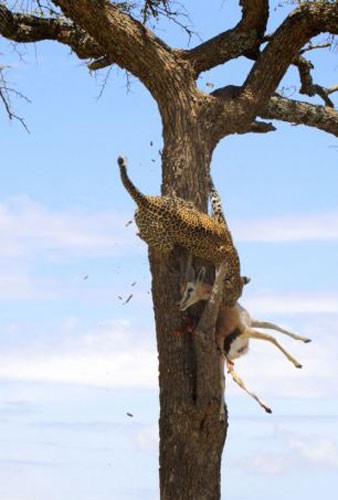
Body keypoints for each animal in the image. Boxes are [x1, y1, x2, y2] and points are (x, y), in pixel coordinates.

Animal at [117, 156, 244, 304]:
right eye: (230, 298)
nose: (230, 304)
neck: (234, 262)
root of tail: (147, 202)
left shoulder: (221, 219)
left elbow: (216, 197)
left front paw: (209, 180)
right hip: (164, 241)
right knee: (154, 240)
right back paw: (140, 235)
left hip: (175, 203)